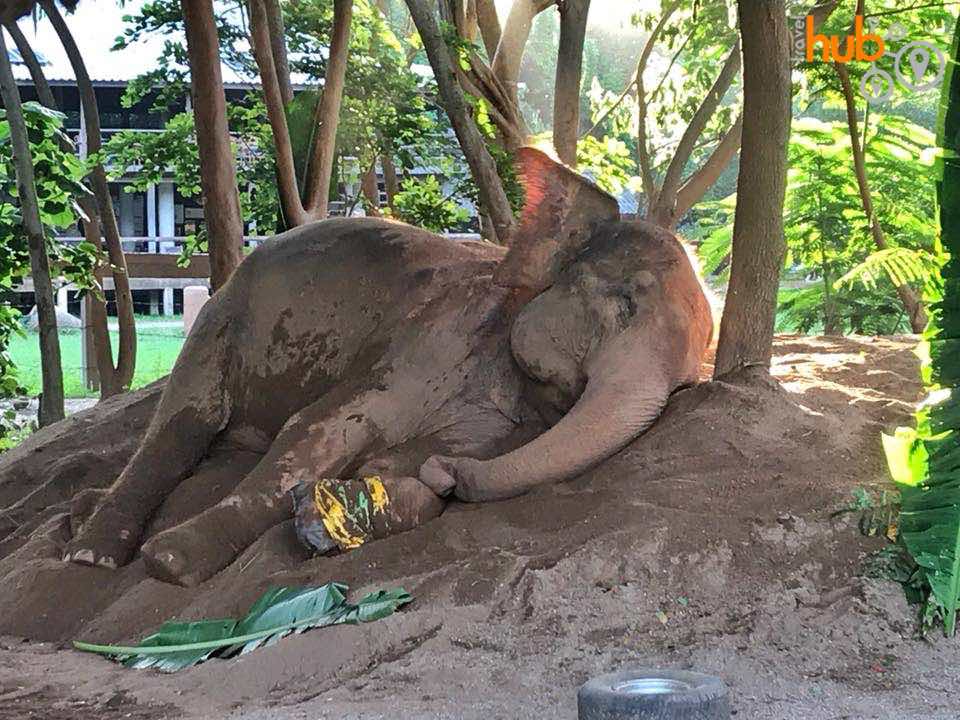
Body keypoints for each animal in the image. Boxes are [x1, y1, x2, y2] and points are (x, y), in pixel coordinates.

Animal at [62, 149, 712, 588]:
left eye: (687, 383)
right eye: (625, 304)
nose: (446, 473)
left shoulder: (495, 420)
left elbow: (388, 463)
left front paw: (352, 502)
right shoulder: (436, 336)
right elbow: (316, 432)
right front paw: (173, 561)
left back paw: (80, 512)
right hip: (221, 319)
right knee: (182, 423)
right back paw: (90, 553)